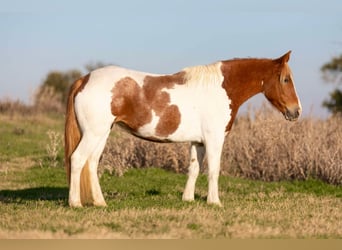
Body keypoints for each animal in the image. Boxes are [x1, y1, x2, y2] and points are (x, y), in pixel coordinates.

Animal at [65, 50, 302, 207]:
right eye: (285, 79)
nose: (296, 111)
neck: (221, 89)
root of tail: (84, 79)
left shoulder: (198, 142)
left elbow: (194, 169)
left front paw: (188, 199)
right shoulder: (214, 139)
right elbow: (214, 170)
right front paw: (214, 202)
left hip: (102, 134)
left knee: (91, 163)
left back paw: (100, 203)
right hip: (94, 133)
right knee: (77, 160)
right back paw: (75, 203)